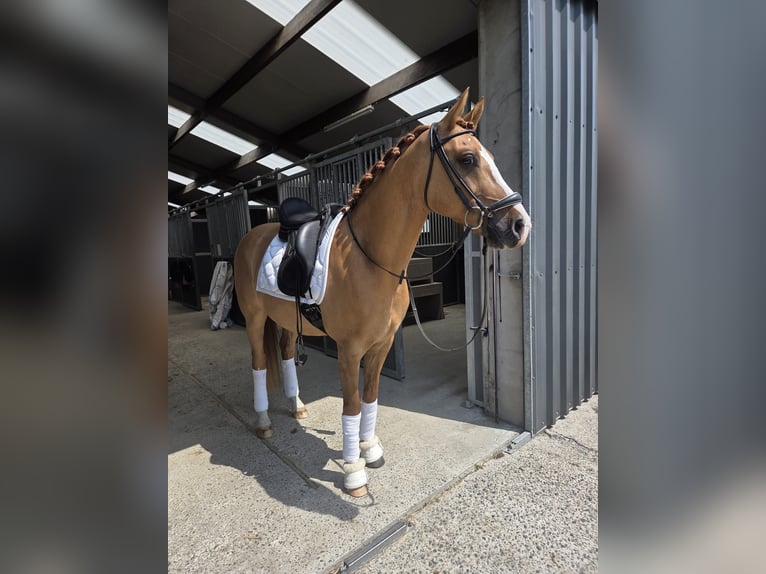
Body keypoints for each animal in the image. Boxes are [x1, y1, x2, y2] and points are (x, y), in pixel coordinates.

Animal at [233, 88, 531, 497]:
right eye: (468, 159)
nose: (520, 225)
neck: (368, 258)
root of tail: (252, 236)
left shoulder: (382, 345)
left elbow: (371, 398)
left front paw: (370, 450)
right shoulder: (348, 351)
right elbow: (352, 406)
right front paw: (353, 474)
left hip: (287, 321)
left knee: (287, 355)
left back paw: (296, 407)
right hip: (254, 318)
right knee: (259, 363)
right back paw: (263, 421)